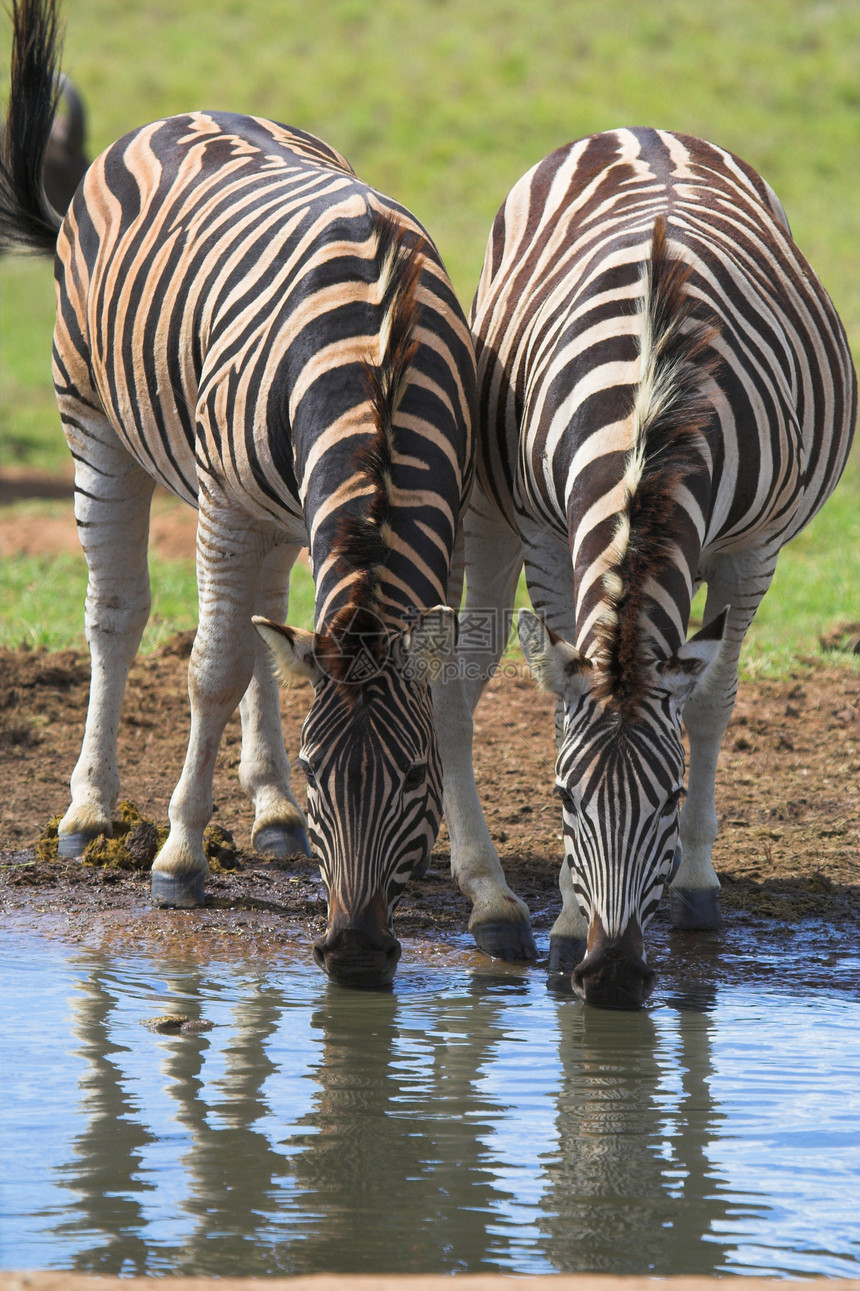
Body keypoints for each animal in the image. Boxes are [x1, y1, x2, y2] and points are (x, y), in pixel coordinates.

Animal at [1, 0, 482, 981]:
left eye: (415, 776)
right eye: (323, 767)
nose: (357, 954)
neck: (382, 350)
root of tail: (178, 114)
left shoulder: (444, 515)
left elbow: (440, 675)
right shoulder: (223, 500)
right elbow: (212, 668)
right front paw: (179, 858)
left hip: (279, 504)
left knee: (270, 619)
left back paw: (271, 810)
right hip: (95, 421)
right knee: (118, 612)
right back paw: (88, 813)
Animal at [431, 128, 852, 1006]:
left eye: (670, 796)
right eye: (562, 796)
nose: (615, 976)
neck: (647, 417)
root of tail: (647, 132)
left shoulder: (754, 550)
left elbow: (713, 702)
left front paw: (695, 884)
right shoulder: (547, 535)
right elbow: (564, 712)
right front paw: (563, 923)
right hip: (485, 501)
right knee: (459, 675)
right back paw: (492, 901)